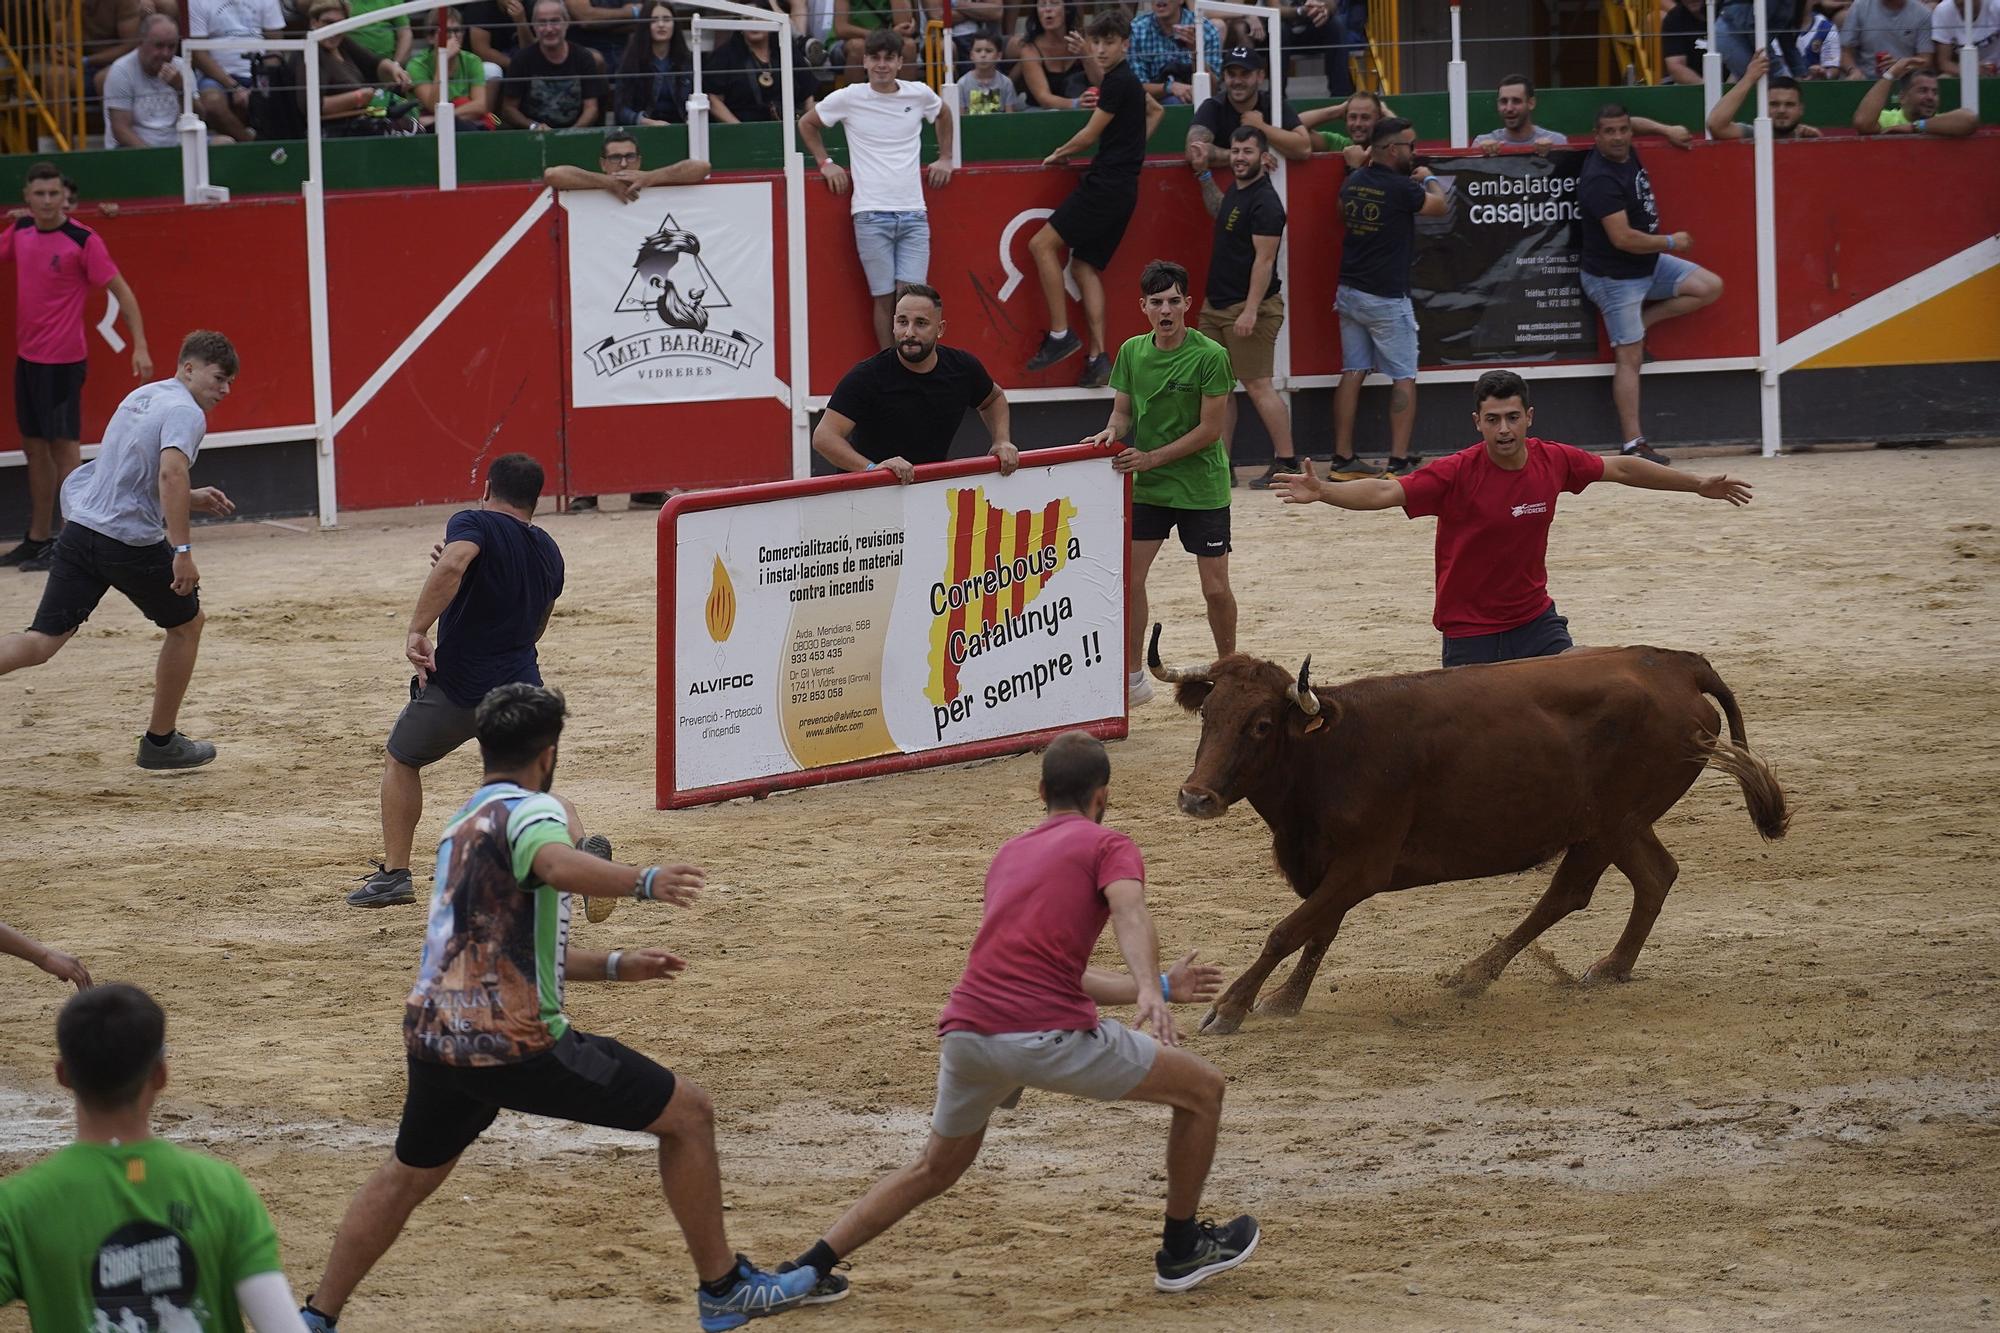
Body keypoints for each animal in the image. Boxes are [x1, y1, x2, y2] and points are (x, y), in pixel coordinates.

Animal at [1152, 624, 1792, 1040]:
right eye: (1207, 715)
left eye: (1262, 725)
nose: (1196, 797)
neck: (1328, 751)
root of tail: (1678, 663)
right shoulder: (1331, 868)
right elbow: (1317, 931)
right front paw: (1284, 1001)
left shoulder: (1362, 867)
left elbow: (1288, 931)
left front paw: (1230, 1008)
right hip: (1618, 824)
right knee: (1653, 876)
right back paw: (1608, 967)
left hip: (1611, 823)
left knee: (1572, 892)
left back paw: (1476, 975)